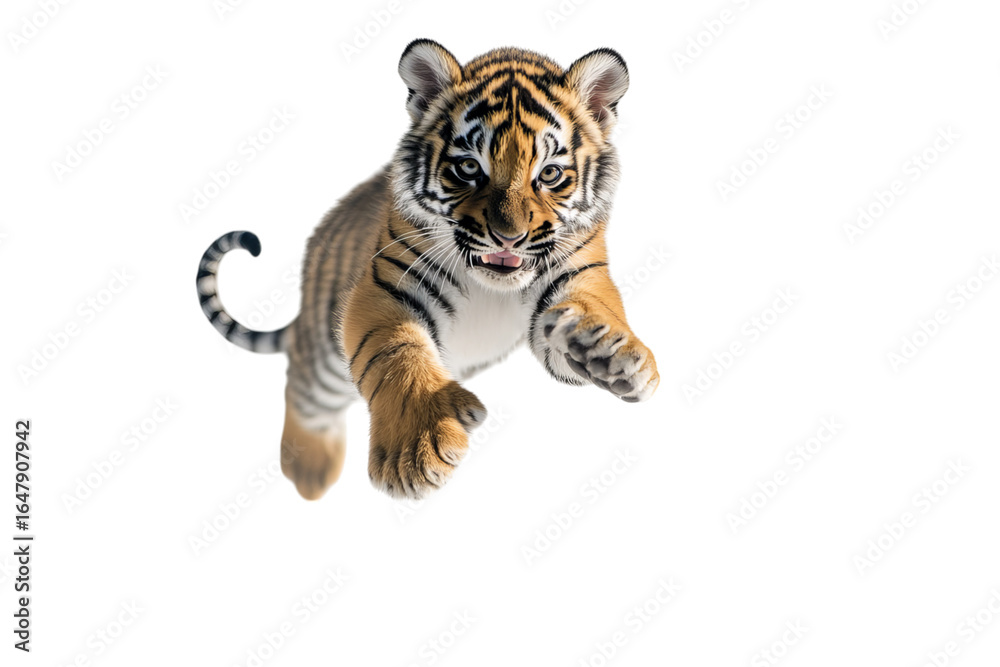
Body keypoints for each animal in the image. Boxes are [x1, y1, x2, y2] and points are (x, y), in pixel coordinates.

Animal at [196, 39, 659, 501]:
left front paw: (607, 351)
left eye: (549, 173)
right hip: (323, 360)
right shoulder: (387, 285)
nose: (508, 238)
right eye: (469, 168)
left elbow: (594, 311)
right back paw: (311, 473)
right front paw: (414, 452)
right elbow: (396, 352)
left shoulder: (579, 272)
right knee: (301, 389)